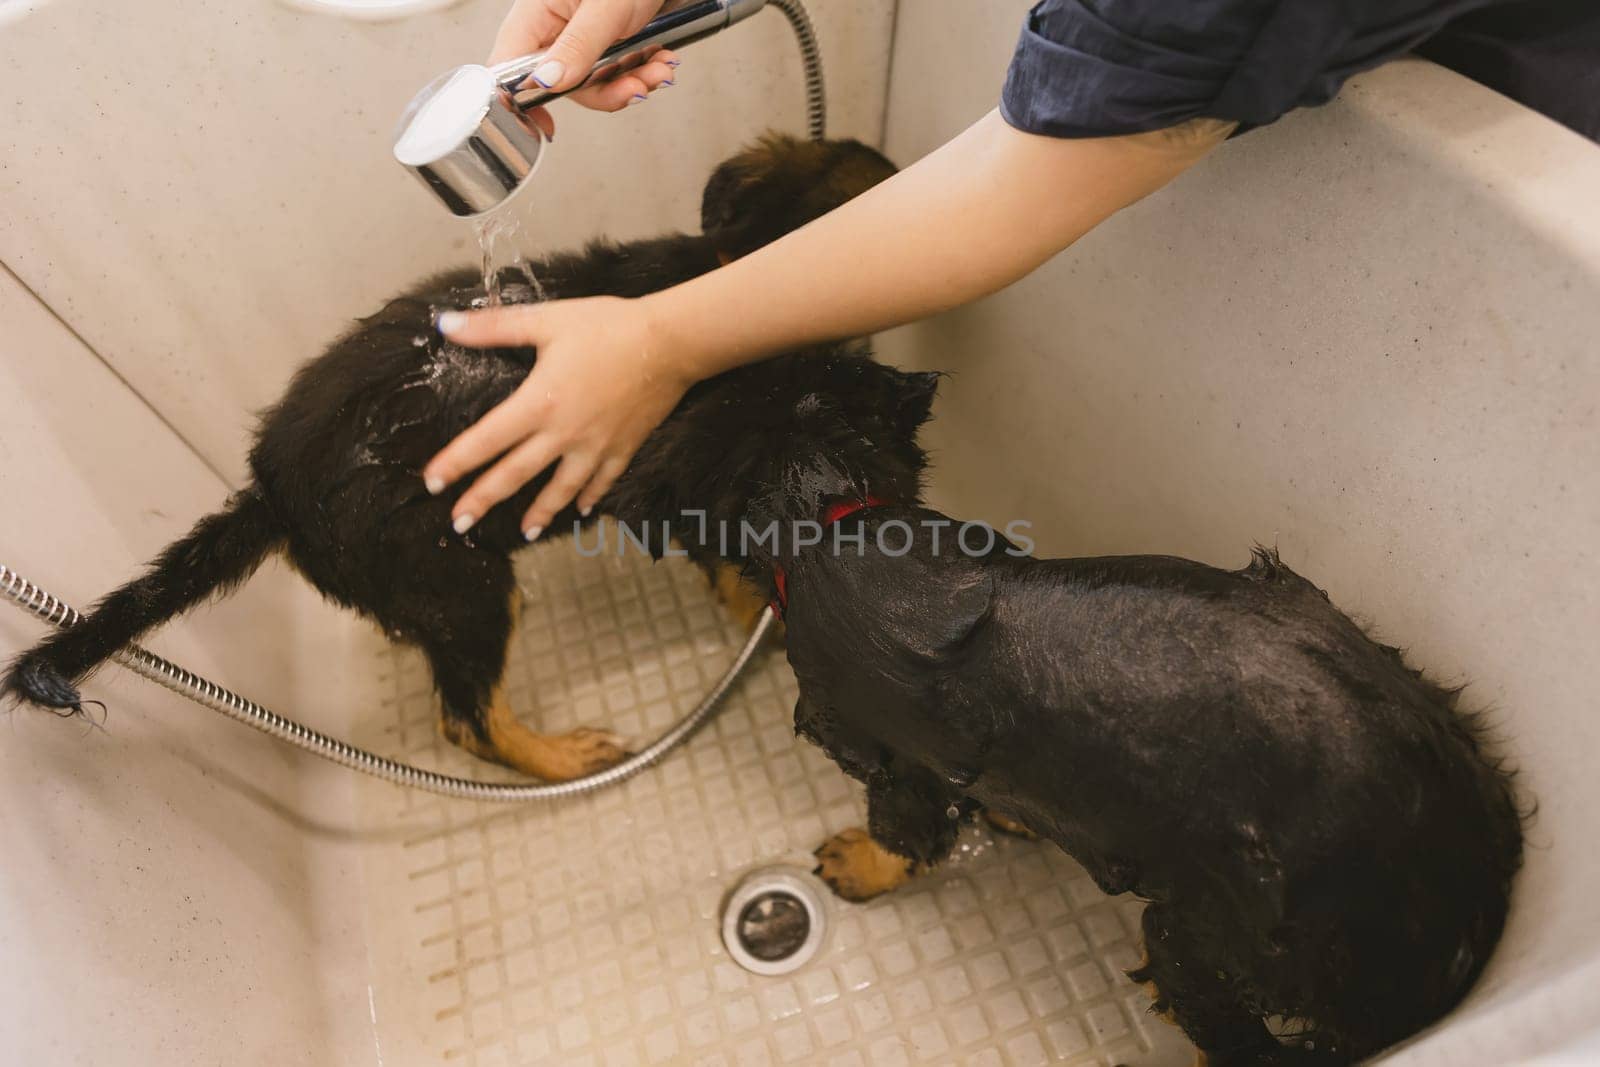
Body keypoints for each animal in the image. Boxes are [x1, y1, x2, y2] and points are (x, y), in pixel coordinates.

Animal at [3, 133, 928, 780]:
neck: (730, 268)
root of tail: (272, 490)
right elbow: (735, 573)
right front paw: (762, 626)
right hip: (464, 582)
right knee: (468, 720)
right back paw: (561, 756)